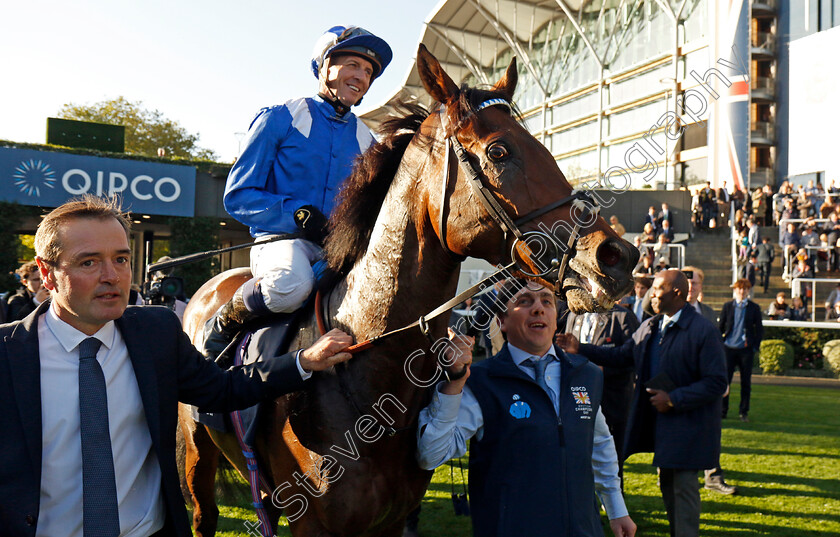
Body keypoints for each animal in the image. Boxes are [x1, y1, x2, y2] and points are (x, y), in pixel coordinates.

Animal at [179, 44, 636, 532]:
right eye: (499, 150)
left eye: (547, 149)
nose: (617, 257)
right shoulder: (314, 524)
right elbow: (242, 189)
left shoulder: (393, 519)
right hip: (195, 455)